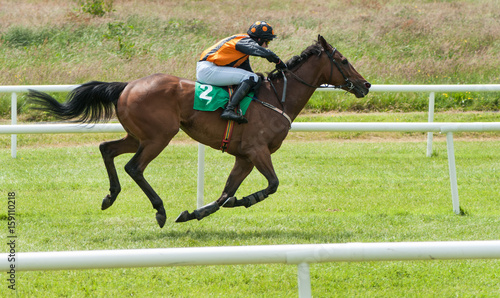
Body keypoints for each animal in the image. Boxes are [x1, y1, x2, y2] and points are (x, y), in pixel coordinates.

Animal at [28, 34, 372, 228]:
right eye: (343, 60)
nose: (366, 85)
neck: (277, 97)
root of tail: (127, 86)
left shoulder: (244, 157)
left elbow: (224, 195)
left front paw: (194, 213)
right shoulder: (257, 150)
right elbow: (272, 185)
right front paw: (245, 200)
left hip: (136, 135)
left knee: (107, 149)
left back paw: (110, 197)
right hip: (159, 136)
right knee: (134, 167)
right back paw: (159, 210)